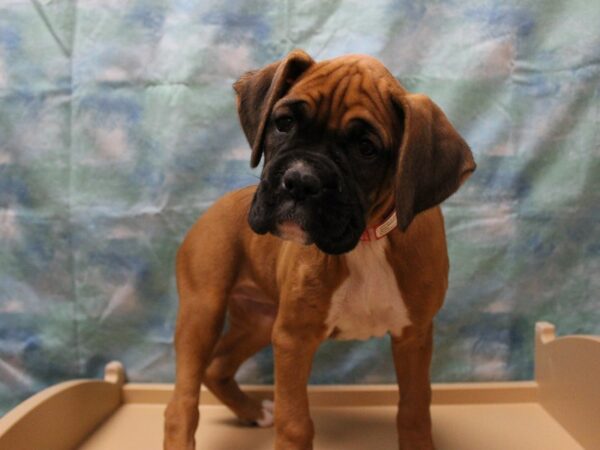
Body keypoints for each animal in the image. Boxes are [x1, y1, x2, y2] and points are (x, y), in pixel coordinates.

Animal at [164, 50, 474, 450]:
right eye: (283, 123)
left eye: (366, 149)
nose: (299, 180)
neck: (368, 240)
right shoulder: (293, 338)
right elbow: (295, 423)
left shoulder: (414, 336)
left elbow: (415, 411)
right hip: (203, 311)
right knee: (181, 404)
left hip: (261, 320)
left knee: (217, 367)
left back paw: (252, 412)